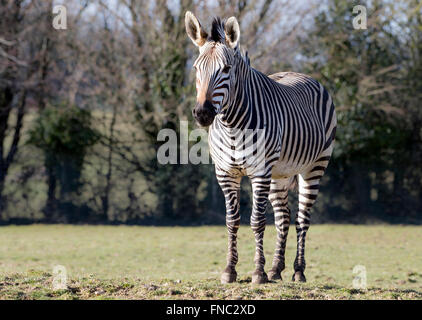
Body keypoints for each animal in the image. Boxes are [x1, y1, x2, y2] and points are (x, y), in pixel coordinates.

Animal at [185, 11, 336, 284]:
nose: (202, 114)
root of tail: (299, 73)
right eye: (196, 69)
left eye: (226, 69)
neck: (232, 126)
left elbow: (257, 221)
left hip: (314, 167)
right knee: (284, 217)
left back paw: (298, 271)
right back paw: (277, 269)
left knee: (302, 219)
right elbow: (232, 221)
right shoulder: (226, 173)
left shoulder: (260, 172)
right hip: (280, 173)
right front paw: (230, 270)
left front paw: (258, 272)